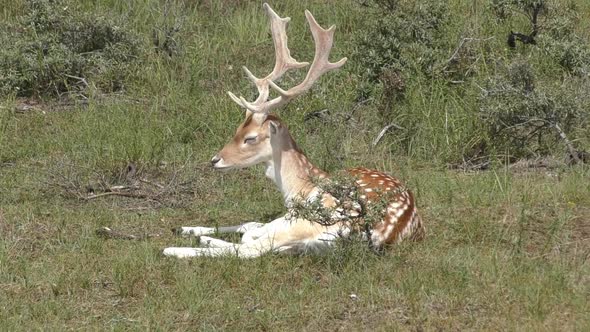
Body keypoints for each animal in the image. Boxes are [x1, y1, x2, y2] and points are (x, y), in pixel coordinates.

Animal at [164, 3, 426, 260]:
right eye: (237, 129)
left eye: (250, 138)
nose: (215, 160)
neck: (296, 189)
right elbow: (251, 224)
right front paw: (187, 228)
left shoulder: (293, 214)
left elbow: (251, 231)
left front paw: (194, 237)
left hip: (309, 217)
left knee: (251, 249)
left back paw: (176, 250)